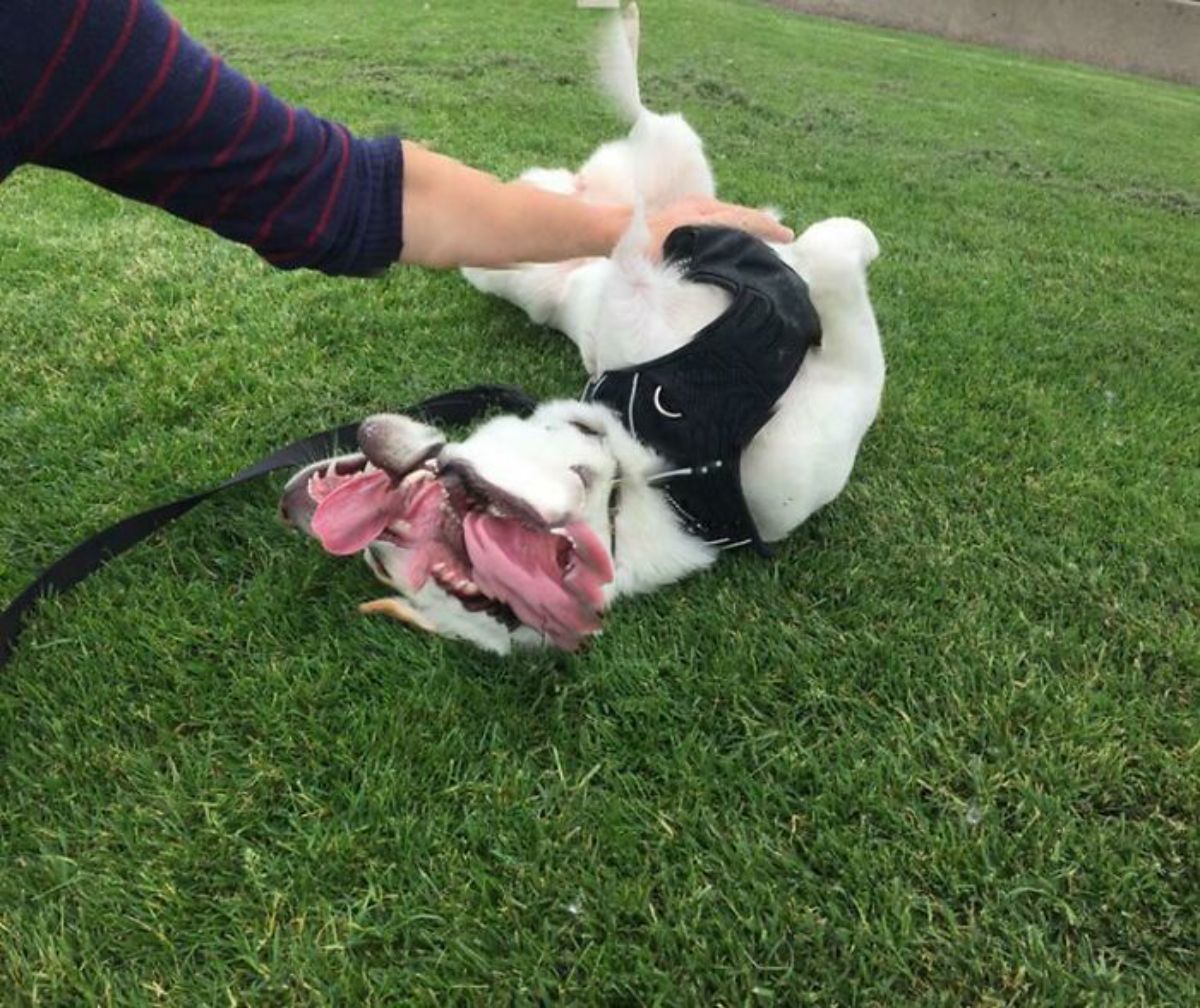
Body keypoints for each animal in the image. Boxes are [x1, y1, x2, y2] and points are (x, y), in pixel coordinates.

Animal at [278, 7, 883, 657]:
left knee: (646, 127)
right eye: (482, 600)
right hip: (517, 258)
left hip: (651, 172)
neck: (645, 467)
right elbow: (835, 245)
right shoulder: (846, 364)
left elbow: (839, 240)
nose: (316, 524)